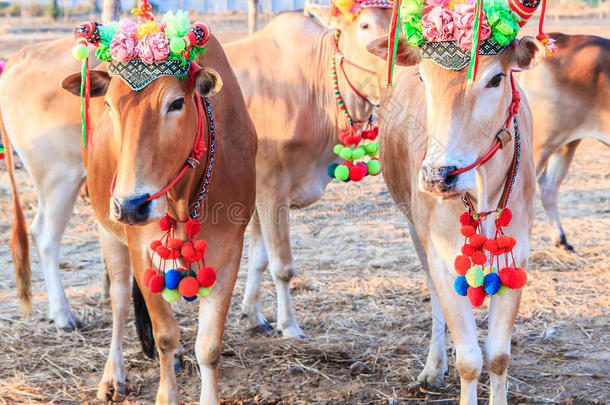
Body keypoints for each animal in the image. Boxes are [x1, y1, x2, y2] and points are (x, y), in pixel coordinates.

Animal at [56, 35, 254, 404]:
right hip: (107, 231)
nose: (131, 205)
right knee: (119, 301)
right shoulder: (140, 249)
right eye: (110, 105)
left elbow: (209, 347)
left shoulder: (230, 249)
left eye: (176, 103)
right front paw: (167, 394)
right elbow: (165, 335)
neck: (183, 203)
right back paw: (113, 375)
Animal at [368, 36, 544, 402]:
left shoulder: (518, 256)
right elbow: (470, 361)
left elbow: (498, 356)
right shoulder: (441, 254)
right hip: (414, 229)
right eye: (423, 78)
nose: (438, 176)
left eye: (496, 79)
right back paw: (433, 368)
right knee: (434, 294)